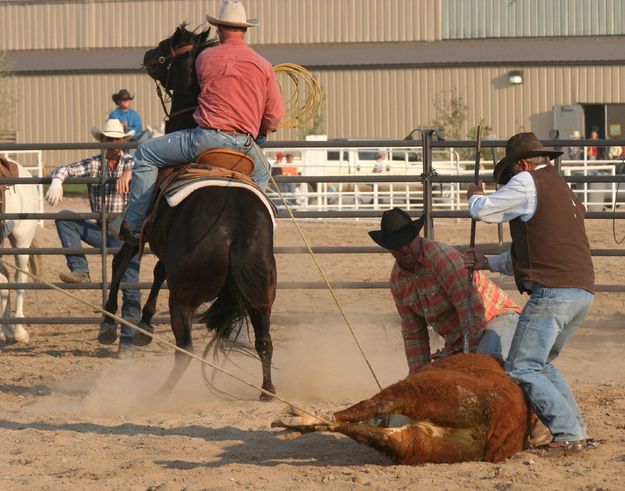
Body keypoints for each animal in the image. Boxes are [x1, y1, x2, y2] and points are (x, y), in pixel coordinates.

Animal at [102, 24, 276, 400]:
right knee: (265, 342)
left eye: (167, 46)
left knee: (186, 349)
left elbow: (122, 260)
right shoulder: (168, 248)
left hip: (184, 298)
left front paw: (109, 322)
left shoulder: (144, 231)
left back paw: (162, 392)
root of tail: (236, 232)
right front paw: (143, 322)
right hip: (261, 295)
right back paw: (267, 390)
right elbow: (156, 273)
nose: (148, 55)